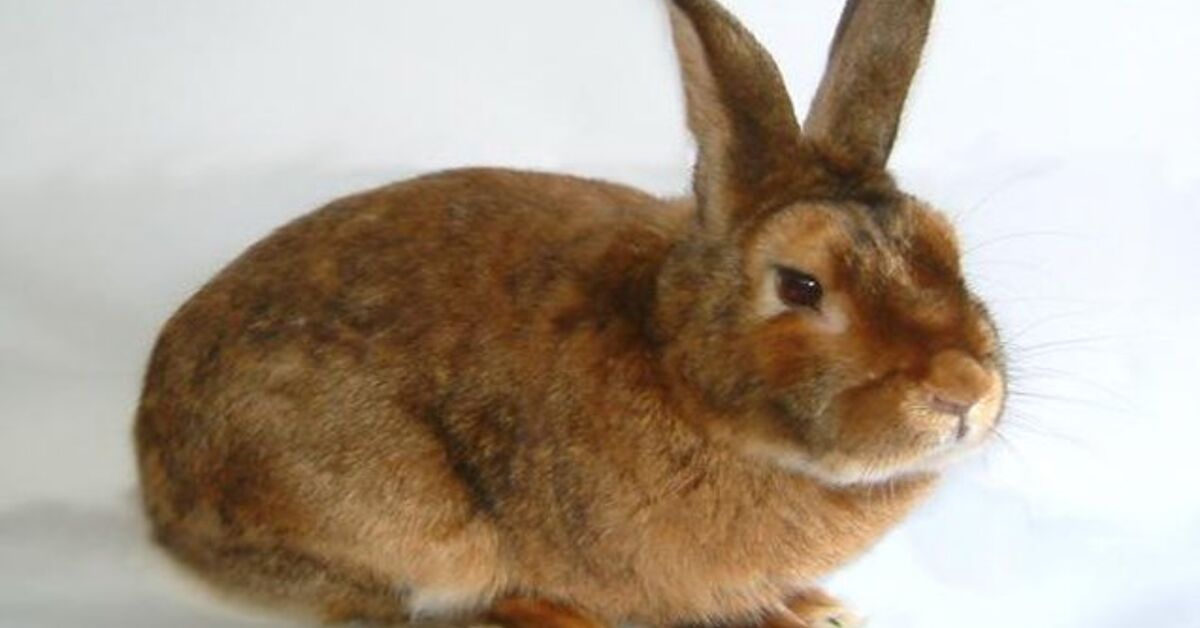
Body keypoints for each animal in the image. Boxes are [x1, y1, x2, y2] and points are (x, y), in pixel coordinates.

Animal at [134, 0, 1006, 626]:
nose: (964, 390)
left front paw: (813, 611)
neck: (672, 361)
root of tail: (153, 462)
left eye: (949, 250)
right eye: (800, 287)